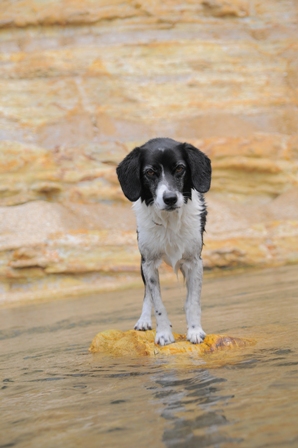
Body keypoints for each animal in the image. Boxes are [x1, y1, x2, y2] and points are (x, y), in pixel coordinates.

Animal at [116, 136, 212, 346]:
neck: (169, 222)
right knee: (147, 294)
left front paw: (195, 330)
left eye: (179, 168)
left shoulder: (194, 261)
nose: (170, 198)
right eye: (150, 172)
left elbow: (193, 302)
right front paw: (163, 334)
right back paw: (144, 320)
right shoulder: (149, 263)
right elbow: (157, 302)